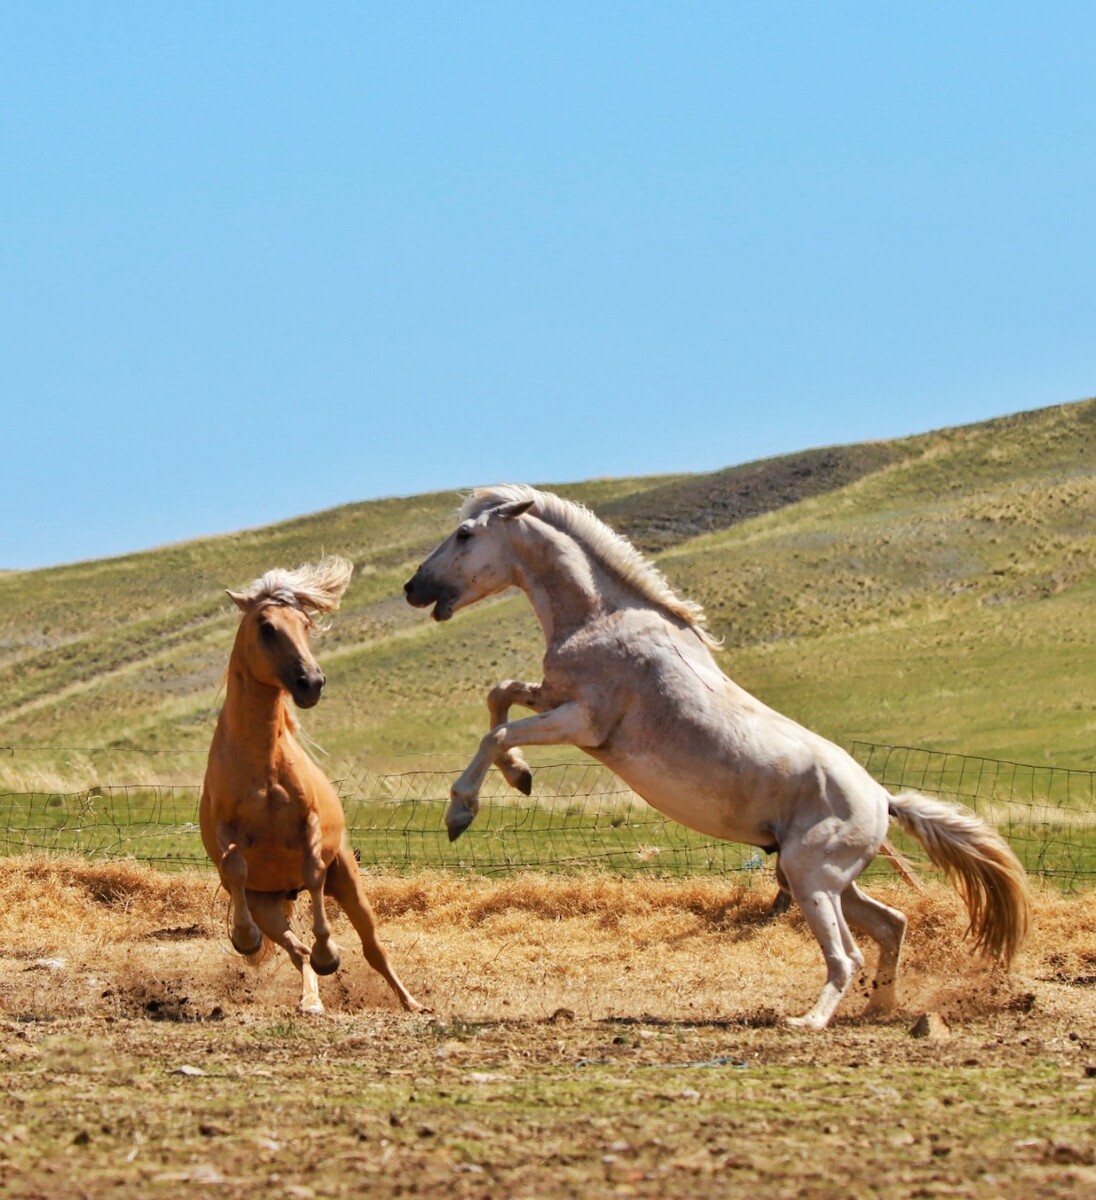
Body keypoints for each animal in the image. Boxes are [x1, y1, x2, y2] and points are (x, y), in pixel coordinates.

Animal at [196, 556, 420, 1017]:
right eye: (266, 626)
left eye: (304, 623)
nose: (312, 682)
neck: (263, 765)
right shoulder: (225, 830)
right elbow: (234, 867)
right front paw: (244, 939)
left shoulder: (310, 824)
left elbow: (313, 870)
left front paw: (329, 952)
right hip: (268, 904)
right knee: (295, 952)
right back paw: (310, 1000)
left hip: (348, 880)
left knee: (373, 948)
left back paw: (411, 1003)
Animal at [405, 487, 1032, 1032]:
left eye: (464, 534)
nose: (414, 588)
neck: (602, 618)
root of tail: (882, 799)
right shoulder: (552, 697)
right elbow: (500, 695)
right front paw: (521, 777)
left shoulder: (582, 722)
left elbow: (497, 731)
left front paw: (461, 812)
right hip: (827, 880)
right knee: (892, 924)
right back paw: (882, 1008)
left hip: (812, 877)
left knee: (848, 954)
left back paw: (809, 1021)